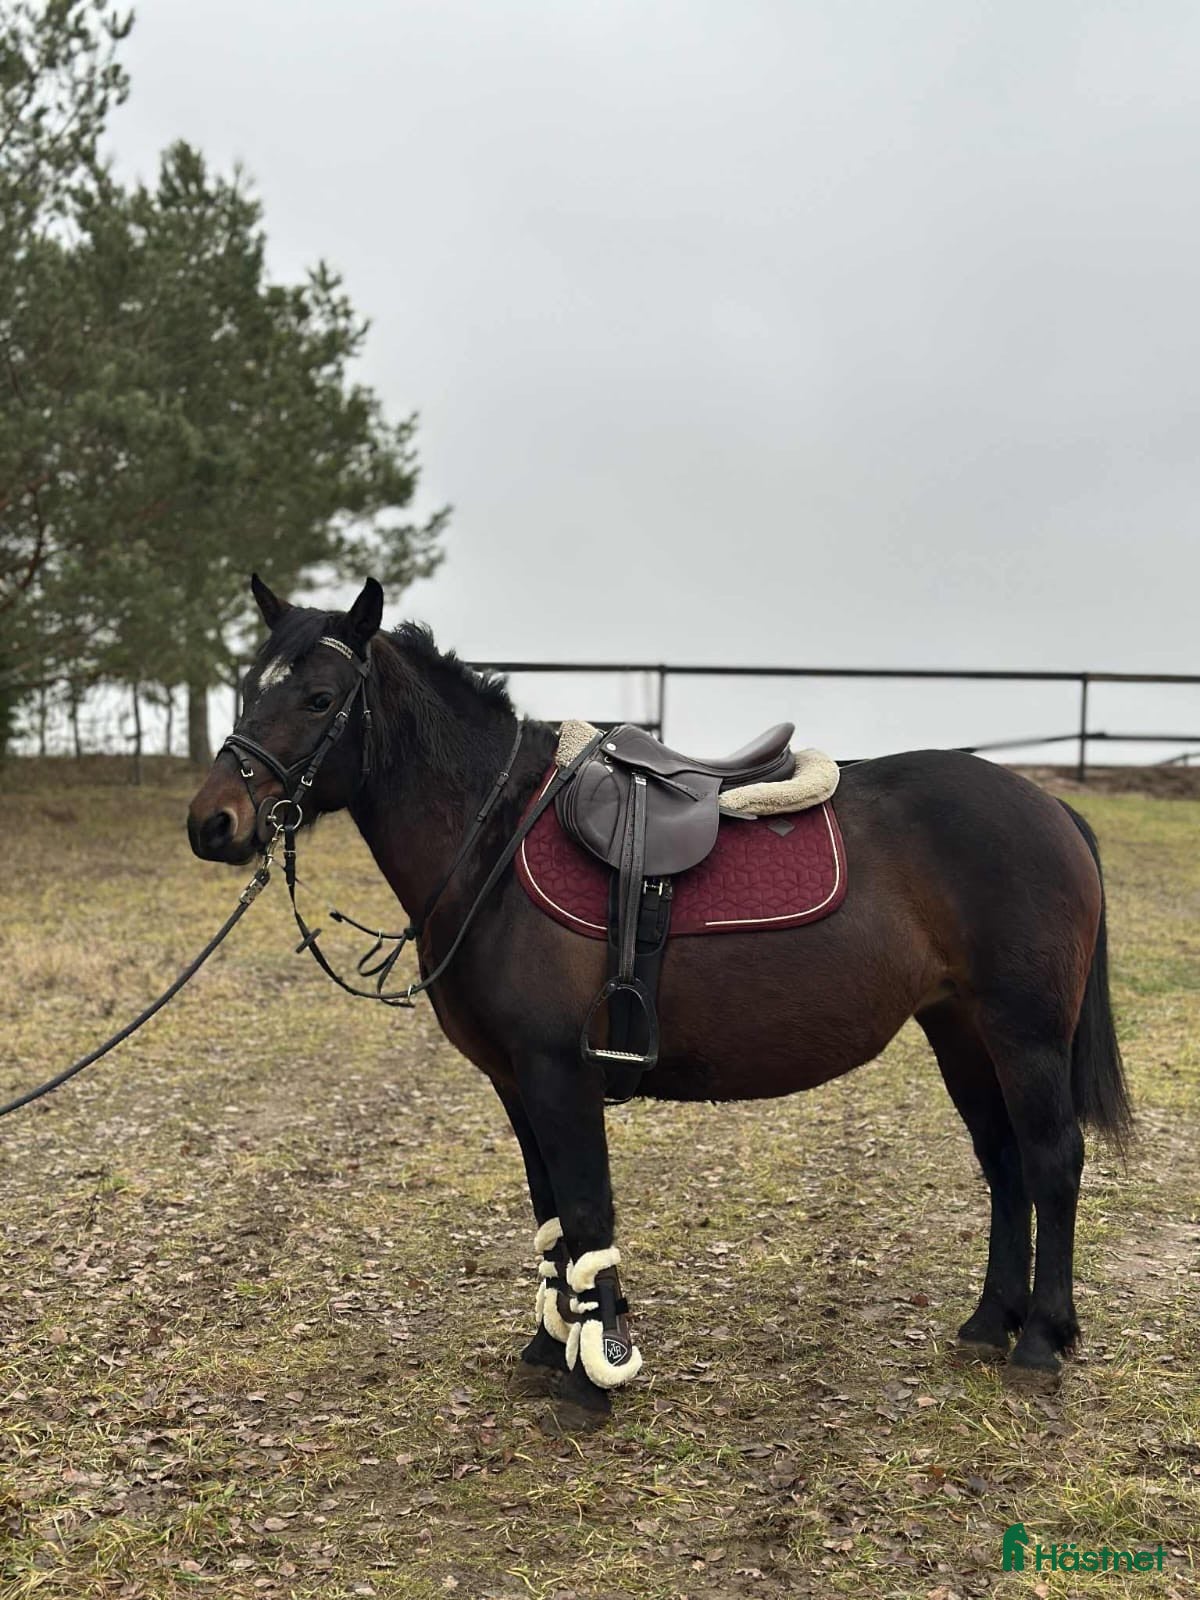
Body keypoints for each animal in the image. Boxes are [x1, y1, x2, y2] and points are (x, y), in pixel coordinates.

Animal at [187, 575, 1131, 1424]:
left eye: (318, 697)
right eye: (248, 687)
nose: (212, 823)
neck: (493, 844)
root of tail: (1050, 807)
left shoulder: (558, 1072)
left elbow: (585, 1207)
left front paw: (594, 1373)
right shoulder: (515, 1082)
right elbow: (551, 1216)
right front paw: (551, 1345)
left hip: (1024, 1034)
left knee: (1051, 1160)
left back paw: (1041, 1340)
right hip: (961, 1032)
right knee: (1003, 1162)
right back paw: (989, 1323)